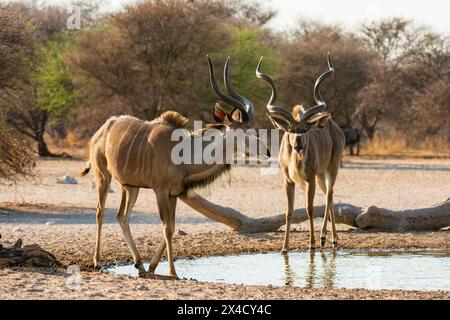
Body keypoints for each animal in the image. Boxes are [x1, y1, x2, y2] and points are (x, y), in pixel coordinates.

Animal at [80, 57, 268, 278]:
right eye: (243, 132)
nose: (266, 151)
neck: (183, 152)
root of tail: (104, 127)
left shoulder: (174, 194)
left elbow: (171, 225)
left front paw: (152, 267)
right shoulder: (160, 192)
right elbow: (167, 228)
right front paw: (172, 272)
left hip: (131, 187)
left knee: (122, 216)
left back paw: (139, 265)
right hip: (103, 177)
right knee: (100, 212)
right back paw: (97, 261)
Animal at [256, 53, 344, 251]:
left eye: (304, 130)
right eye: (289, 130)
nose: (297, 145)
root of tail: (333, 125)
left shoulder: (309, 179)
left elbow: (309, 209)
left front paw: (311, 244)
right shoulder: (288, 181)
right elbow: (289, 212)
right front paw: (284, 247)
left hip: (331, 168)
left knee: (329, 195)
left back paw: (326, 238)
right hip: (320, 176)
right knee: (329, 195)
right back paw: (330, 238)